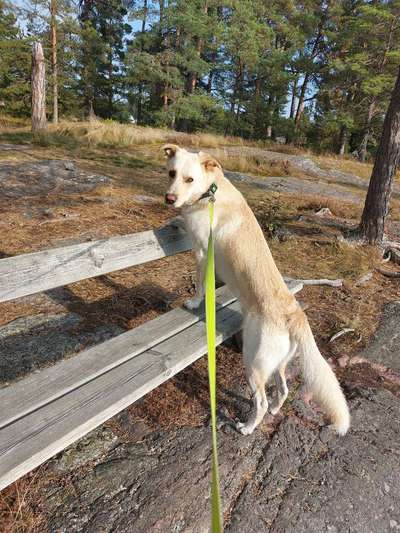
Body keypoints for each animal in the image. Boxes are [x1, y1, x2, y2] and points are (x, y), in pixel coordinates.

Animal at [162, 142, 350, 436]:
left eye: (189, 179)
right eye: (171, 173)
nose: (169, 199)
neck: (210, 192)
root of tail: (294, 315)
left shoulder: (202, 253)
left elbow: (200, 285)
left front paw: (193, 303)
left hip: (253, 363)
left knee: (260, 401)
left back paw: (247, 427)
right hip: (278, 364)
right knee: (283, 390)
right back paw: (274, 410)